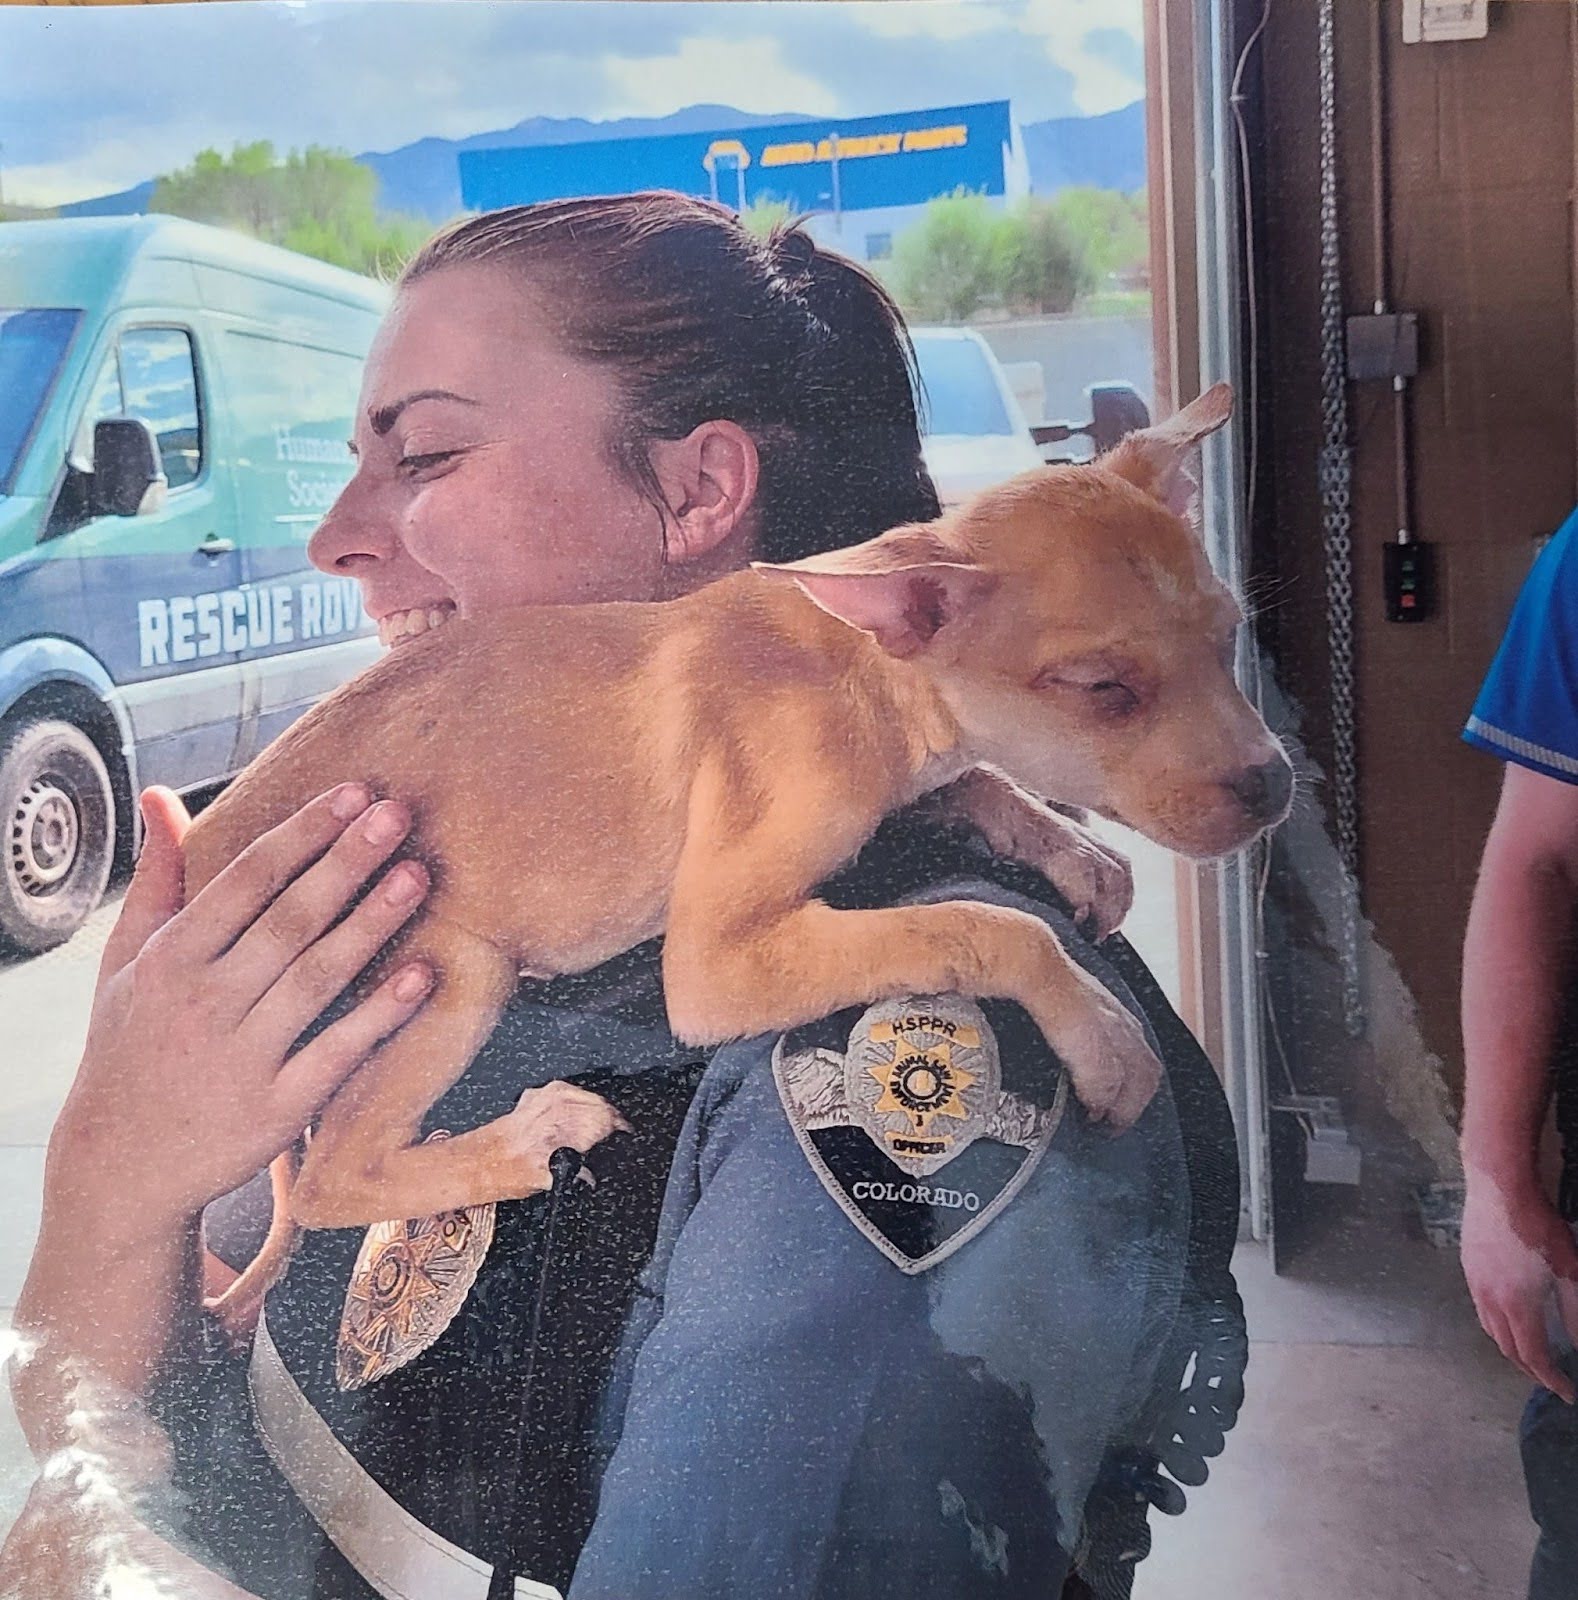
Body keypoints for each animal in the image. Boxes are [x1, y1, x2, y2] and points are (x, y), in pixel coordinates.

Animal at [187, 387, 1293, 1312]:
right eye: (1104, 690)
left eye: (1229, 635)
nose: (1277, 786)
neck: (858, 665)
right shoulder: (717, 963)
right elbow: (981, 923)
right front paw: (1101, 1030)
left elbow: (976, 785)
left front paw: (1067, 847)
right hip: (452, 968)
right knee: (336, 1173)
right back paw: (528, 1138)